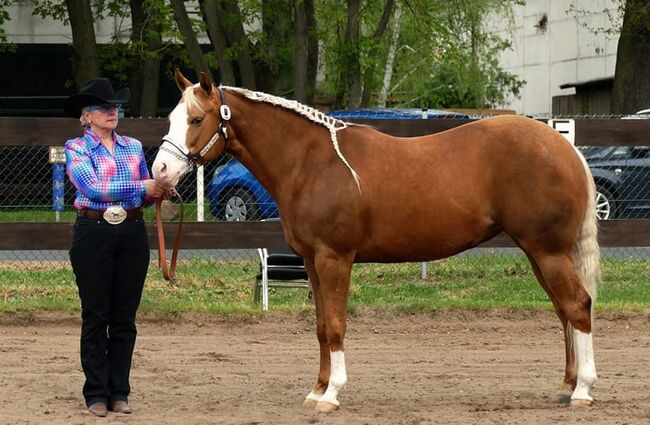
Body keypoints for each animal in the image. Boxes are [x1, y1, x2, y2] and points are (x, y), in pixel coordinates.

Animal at [152, 70, 596, 410]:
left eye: (196, 120)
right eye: (172, 117)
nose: (159, 171)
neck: (312, 163)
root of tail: (565, 148)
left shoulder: (334, 259)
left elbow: (335, 325)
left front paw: (332, 394)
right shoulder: (312, 262)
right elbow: (320, 326)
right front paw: (316, 390)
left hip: (548, 251)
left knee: (577, 306)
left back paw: (583, 391)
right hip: (539, 253)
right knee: (563, 312)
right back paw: (566, 387)